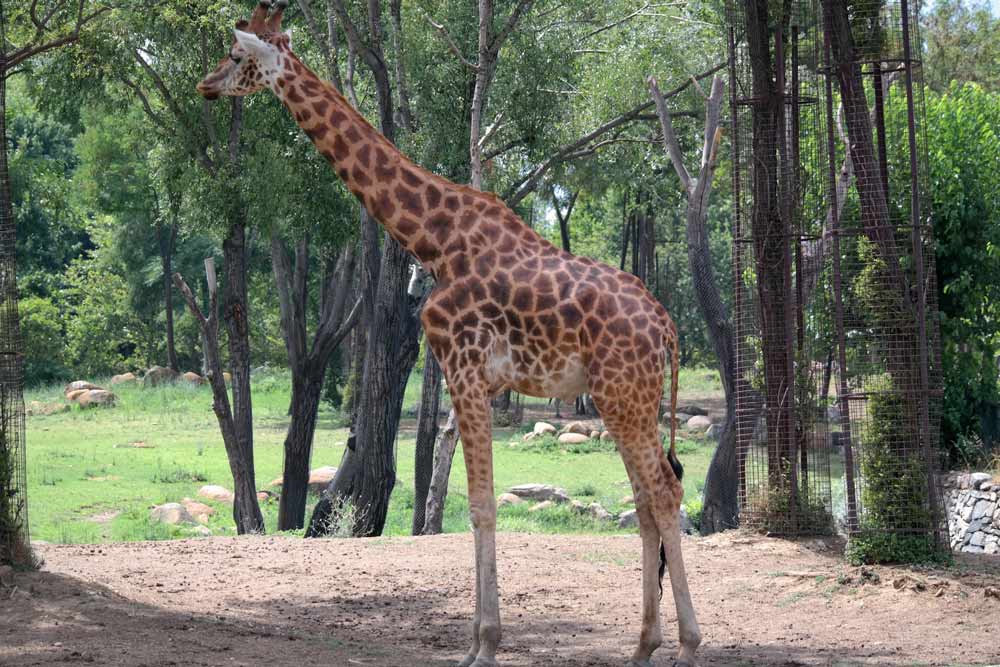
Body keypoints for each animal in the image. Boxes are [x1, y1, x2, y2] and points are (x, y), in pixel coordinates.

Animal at [199, 2, 704, 664]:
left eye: (236, 55)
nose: (205, 85)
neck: (433, 238)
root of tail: (667, 327)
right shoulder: (471, 375)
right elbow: (476, 502)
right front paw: (476, 642)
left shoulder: (464, 367)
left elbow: (482, 505)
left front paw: (484, 645)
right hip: (627, 400)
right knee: (648, 498)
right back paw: (644, 645)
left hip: (624, 394)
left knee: (663, 493)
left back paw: (689, 645)